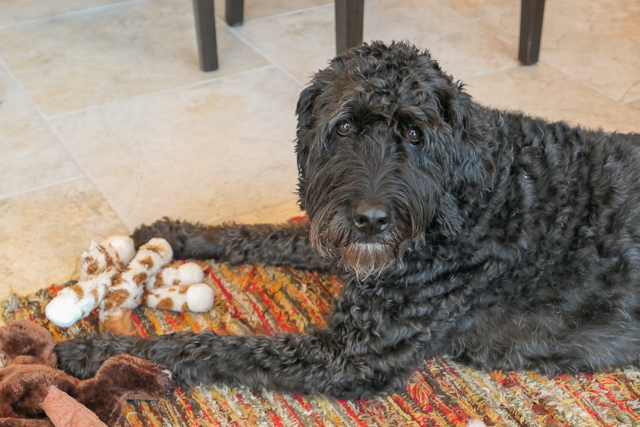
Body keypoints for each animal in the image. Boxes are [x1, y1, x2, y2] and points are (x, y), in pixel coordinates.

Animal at [55, 41, 640, 400]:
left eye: (414, 134)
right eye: (344, 127)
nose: (372, 221)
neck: (475, 193)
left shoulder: (349, 356)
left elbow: (215, 344)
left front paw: (101, 351)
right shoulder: (336, 237)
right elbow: (264, 235)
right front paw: (181, 233)